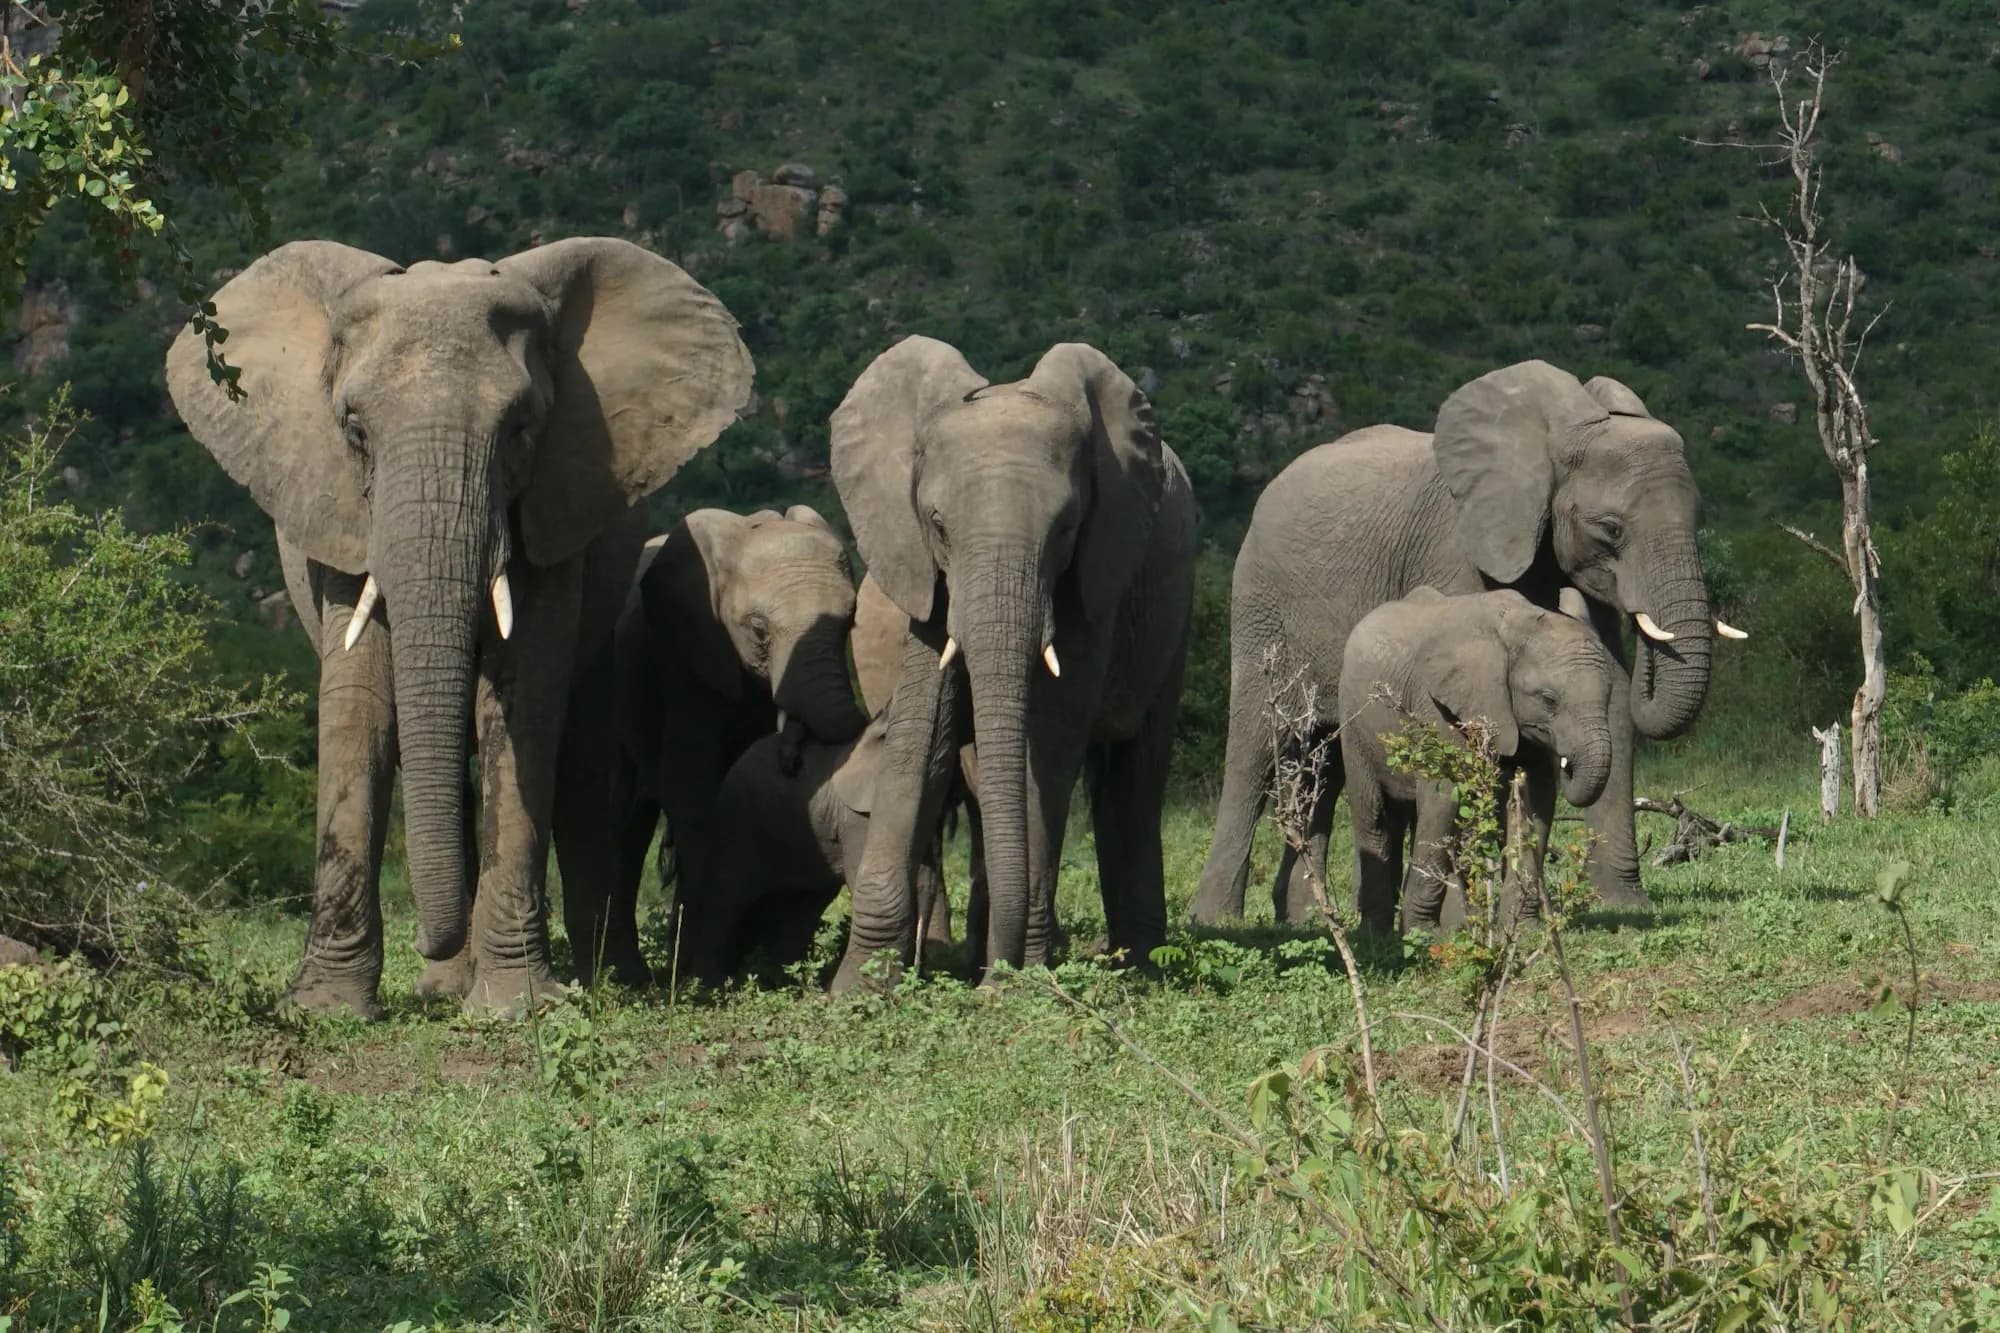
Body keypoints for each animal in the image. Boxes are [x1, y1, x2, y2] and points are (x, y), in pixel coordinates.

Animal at [167, 238, 752, 1017]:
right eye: (354, 431)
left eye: (521, 429)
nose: (427, 938)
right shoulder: (337, 515)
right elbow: (358, 710)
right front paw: (325, 1008)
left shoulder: (552, 510)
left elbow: (523, 703)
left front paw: (517, 1006)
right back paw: (447, 986)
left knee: (580, 764)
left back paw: (604, 978)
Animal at [551, 505, 867, 987]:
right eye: (758, 630)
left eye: (850, 622)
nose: (793, 754)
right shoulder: (688, 656)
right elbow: (693, 784)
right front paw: (700, 972)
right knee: (625, 818)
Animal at [828, 336, 1196, 990]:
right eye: (938, 524)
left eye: (1067, 527)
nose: (999, 975)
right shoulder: (923, 574)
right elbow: (923, 731)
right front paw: (857, 989)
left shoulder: (1095, 572)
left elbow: (1049, 739)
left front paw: (1014, 980)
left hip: (1173, 615)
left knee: (1133, 774)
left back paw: (1137, 965)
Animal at [1339, 587, 1616, 933]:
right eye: (1548, 700)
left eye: (1610, 695)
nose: (1567, 763)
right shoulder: (1439, 707)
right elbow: (1444, 798)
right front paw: (1421, 935)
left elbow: (1533, 803)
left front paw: (1523, 930)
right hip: (1354, 725)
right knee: (1374, 816)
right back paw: (1377, 934)